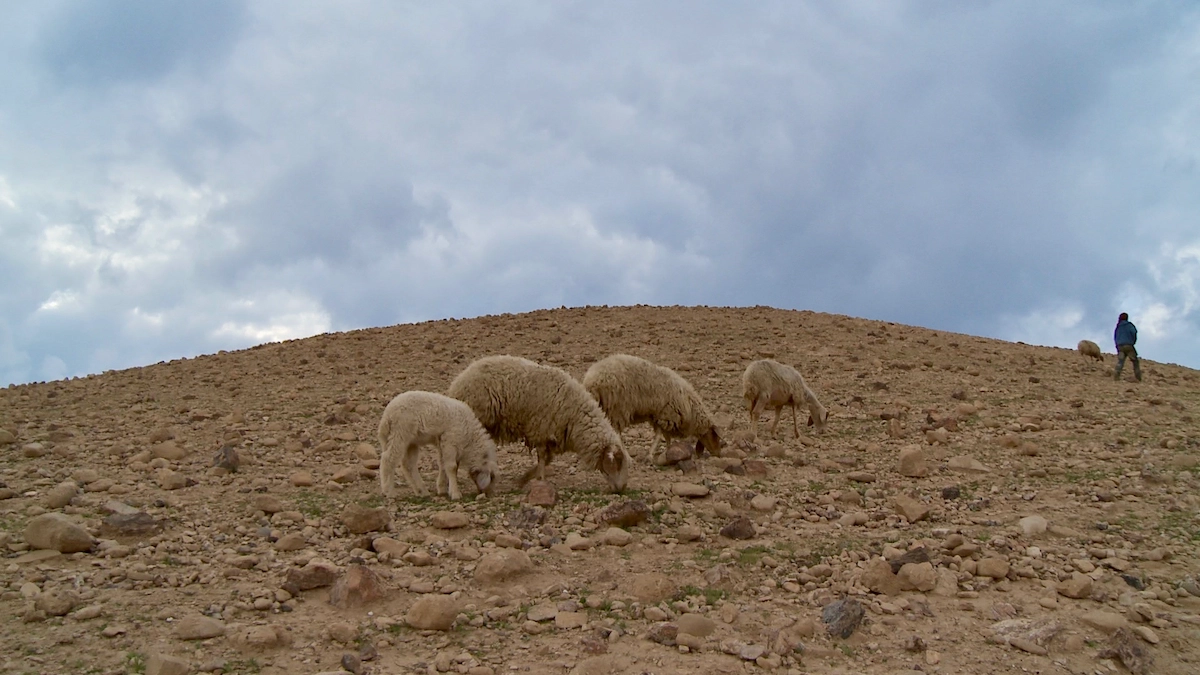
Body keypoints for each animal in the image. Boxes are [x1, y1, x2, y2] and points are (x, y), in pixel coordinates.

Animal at [446, 355, 631, 492]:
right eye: (617, 463)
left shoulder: (551, 434)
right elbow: (542, 458)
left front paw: (524, 479)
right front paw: (539, 479)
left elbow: (547, 459)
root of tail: (457, 383)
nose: (622, 488)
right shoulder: (541, 429)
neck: (575, 415)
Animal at [582, 353, 722, 459]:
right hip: (618, 409)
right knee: (617, 434)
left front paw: (669, 450)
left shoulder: (659, 416)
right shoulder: (667, 415)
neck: (690, 407)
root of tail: (592, 380)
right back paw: (627, 457)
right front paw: (651, 454)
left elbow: (665, 436)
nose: (718, 454)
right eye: (715, 436)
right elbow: (660, 436)